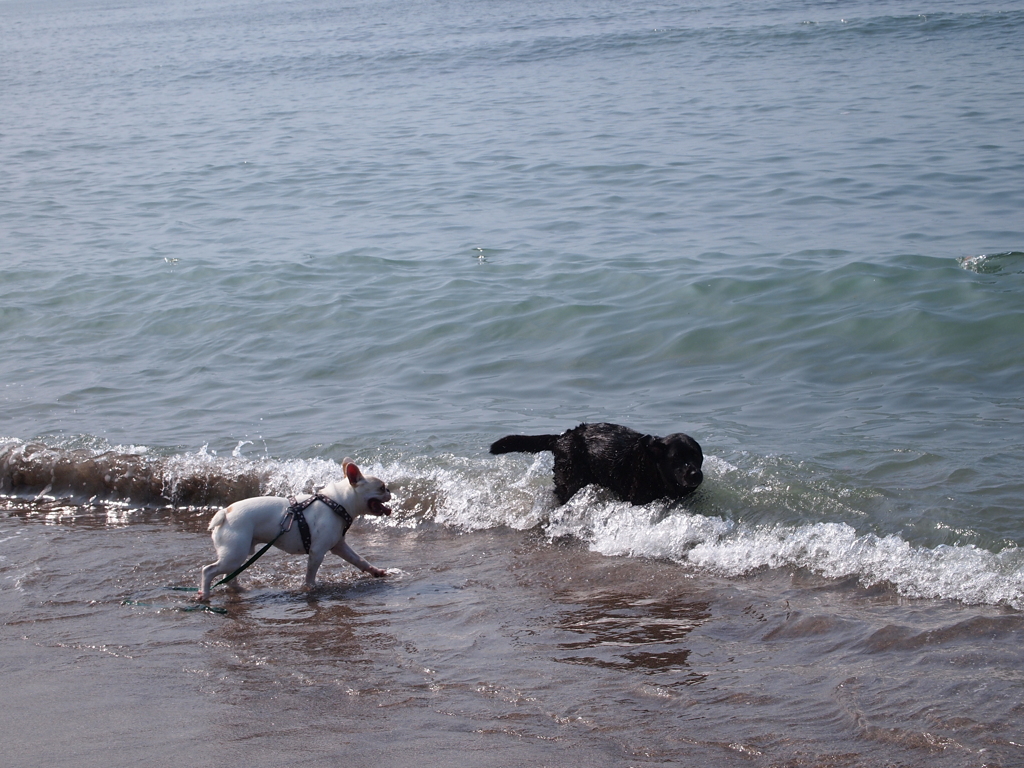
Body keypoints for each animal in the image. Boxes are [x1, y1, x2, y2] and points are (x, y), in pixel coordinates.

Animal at [196, 456, 391, 602]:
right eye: (381, 488)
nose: (390, 490)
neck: (337, 502)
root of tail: (225, 512)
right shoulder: (317, 552)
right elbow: (310, 573)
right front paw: (310, 588)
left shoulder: (339, 546)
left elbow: (359, 560)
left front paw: (375, 571)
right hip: (234, 553)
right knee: (209, 570)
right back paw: (205, 594)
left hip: (237, 554)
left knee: (229, 577)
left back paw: (239, 589)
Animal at [489, 423, 704, 507]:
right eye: (676, 458)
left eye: (697, 456)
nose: (695, 474)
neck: (654, 466)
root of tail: (561, 438)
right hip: (569, 483)